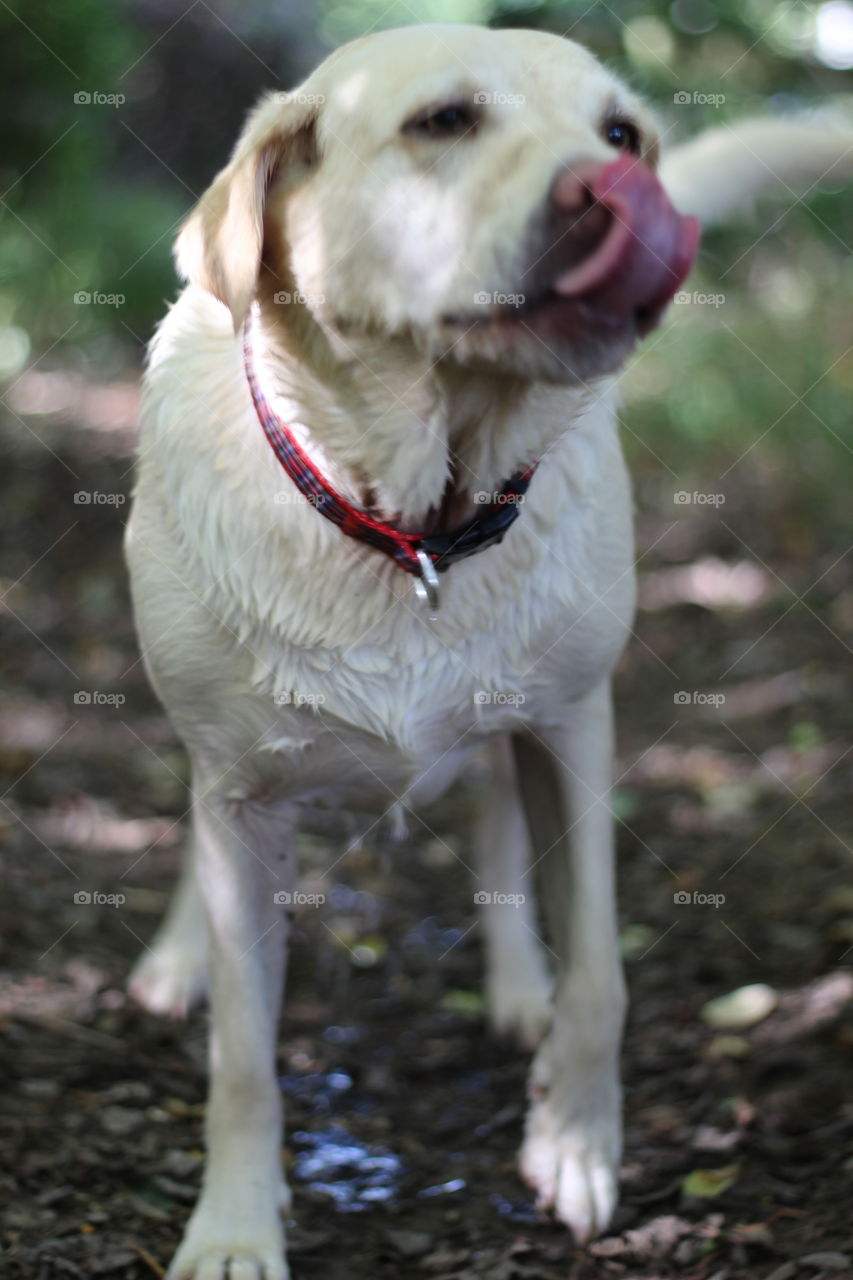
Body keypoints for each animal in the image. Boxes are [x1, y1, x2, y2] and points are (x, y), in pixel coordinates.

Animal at [124, 20, 850, 1280]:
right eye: (443, 121)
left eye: (622, 133)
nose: (614, 191)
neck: (416, 522)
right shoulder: (244, 795)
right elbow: (243, 1056)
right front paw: (232, 1226)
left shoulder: (575, 723)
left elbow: (603, 967)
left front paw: (574, 1135)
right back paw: (176, 957)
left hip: (520, 711)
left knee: (500, 816)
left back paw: (519, 986)